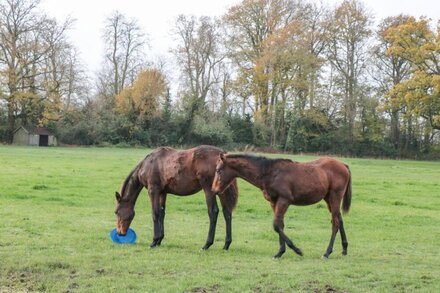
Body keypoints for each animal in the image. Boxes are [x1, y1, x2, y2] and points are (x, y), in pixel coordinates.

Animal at [211, 153, 352, 258]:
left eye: (218, 170)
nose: (214, 190)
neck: (269, 173)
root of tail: (343, 165)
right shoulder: (274, 202)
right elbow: (280, 225)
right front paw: (280, 252)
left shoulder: (284, 200)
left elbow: (276, 225)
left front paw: (297, 250)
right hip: (328, 199)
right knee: (340, 219)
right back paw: (344, 249)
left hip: (335, 197)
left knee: (335, 223)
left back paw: (327, 252)